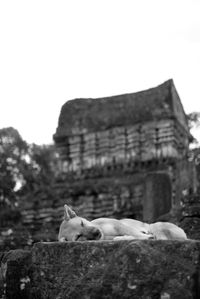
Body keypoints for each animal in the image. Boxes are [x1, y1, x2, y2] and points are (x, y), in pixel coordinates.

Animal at [58, 205, 188, 243]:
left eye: (82, 223)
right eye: (78, 236)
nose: (96, 232)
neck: (104, 232)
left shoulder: (119, 225)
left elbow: (137, 234)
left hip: (158, 226)